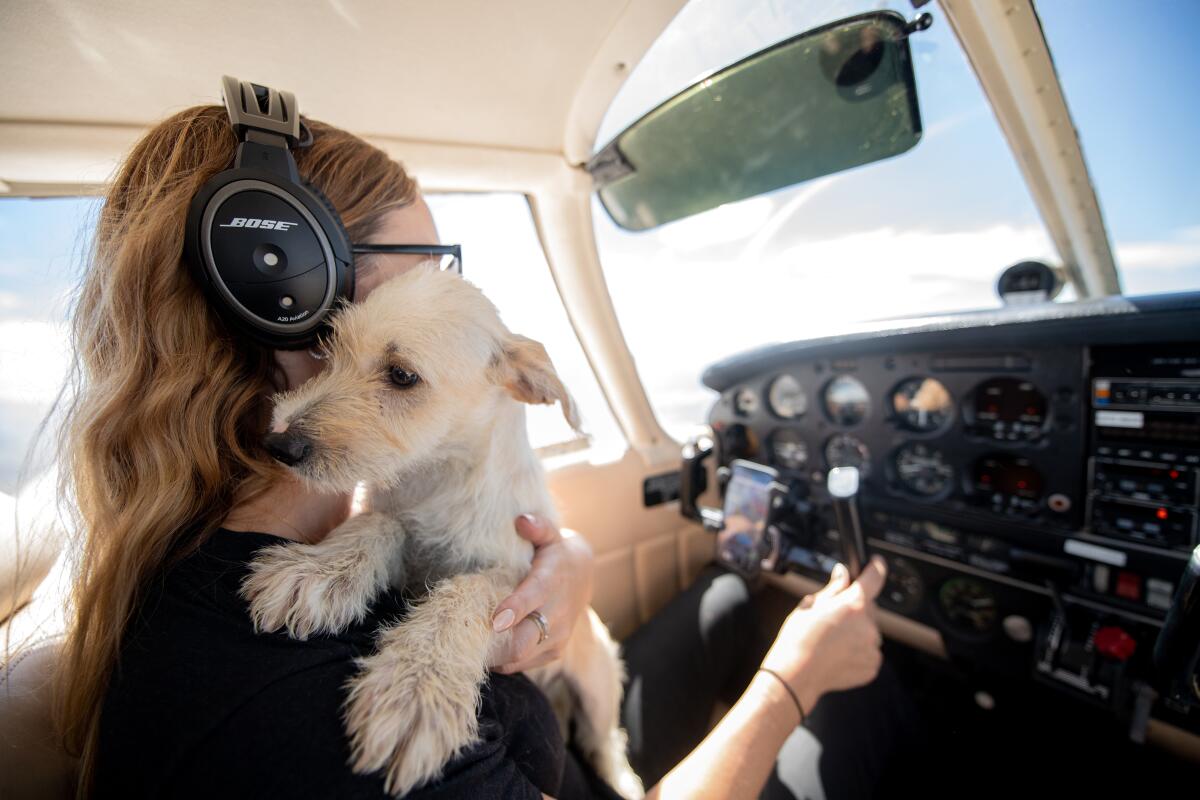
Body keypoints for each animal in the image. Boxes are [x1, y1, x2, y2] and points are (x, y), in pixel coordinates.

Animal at [237, 266, 643, 796]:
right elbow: (380, 523)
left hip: (597, 690)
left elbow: (466, 594)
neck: (438, 480)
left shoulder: (519, 576)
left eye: (402, 375)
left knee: (606, 743)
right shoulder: (400, 529)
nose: (279, 443)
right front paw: (319, 571)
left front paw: (416, 687)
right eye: (331, 351)